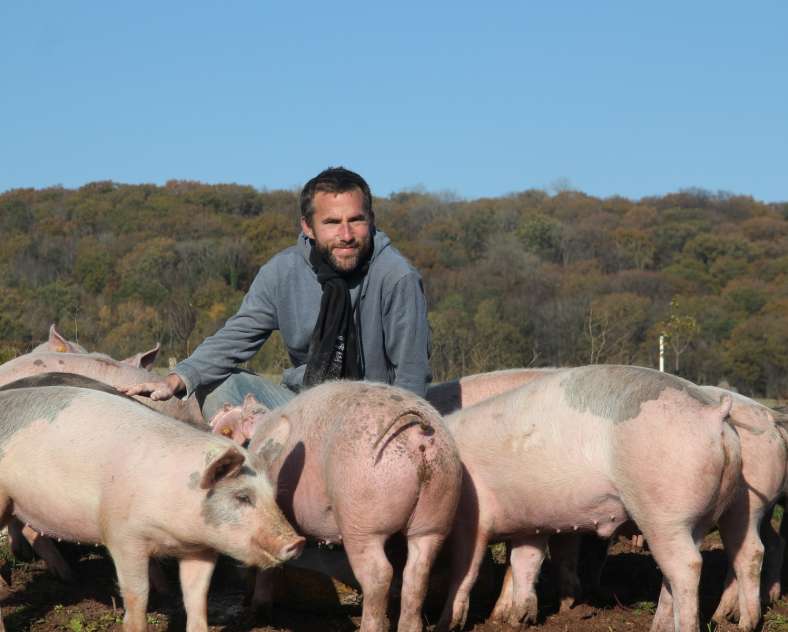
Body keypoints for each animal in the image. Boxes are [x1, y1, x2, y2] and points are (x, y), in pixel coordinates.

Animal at [0, 372, 304, 628]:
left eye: (273, 495)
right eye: (242, 496)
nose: (297, 541)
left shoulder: (201, 550)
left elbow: (197, 599)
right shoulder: (122, 535)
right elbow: (137, 596)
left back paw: (67, 578)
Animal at [223, 380, 462, 632]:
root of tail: (418, 434)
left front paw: (258, 612)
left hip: (363, 516)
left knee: (379, 574)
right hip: (438, 509)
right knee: (417, 573)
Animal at [434, 362, 740, 632]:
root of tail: (712, 414)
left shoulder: (473, 519)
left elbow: (466, 570)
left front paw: (445, 624)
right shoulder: (531, 521)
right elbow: (525, 562)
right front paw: (519, 620)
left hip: (663, 513)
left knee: (688, 566)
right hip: (703, 515)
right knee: (675, 570)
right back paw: (657, 627)